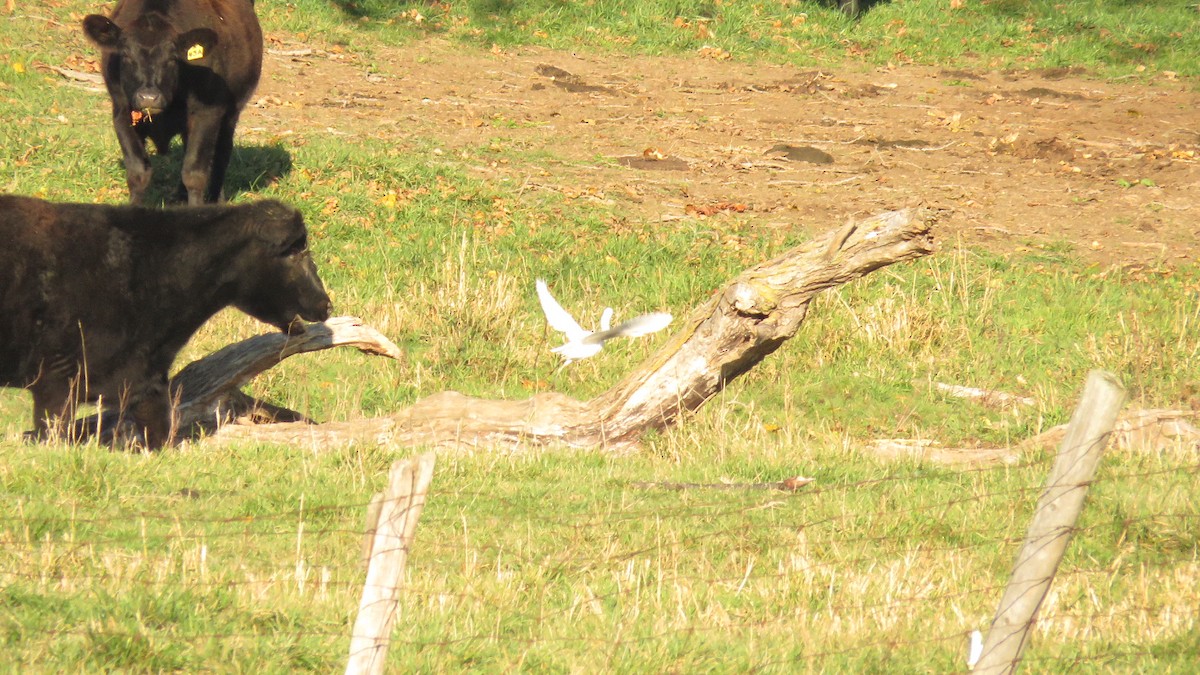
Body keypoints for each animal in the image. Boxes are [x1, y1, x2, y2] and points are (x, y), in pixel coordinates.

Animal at [82, 0, 264, 205]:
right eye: (127, 55)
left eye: (172, 58)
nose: (148, 97)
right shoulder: (121, 112)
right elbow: (138, 172)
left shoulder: (207, 113)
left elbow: (195, 173)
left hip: (231, 113)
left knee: (221, 153)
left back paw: (215, 198)